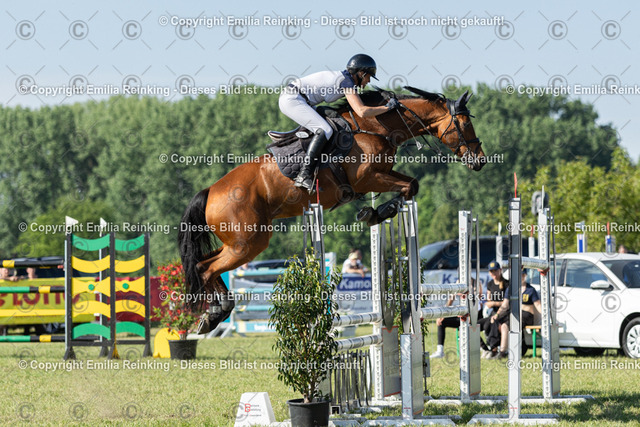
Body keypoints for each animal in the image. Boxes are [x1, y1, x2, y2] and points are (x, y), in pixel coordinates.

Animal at [178, 86, 486, 332]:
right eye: (464, 124)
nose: (480, 160)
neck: (375, 128)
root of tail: (211, 191)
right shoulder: (367, 178)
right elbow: (410, 186)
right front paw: (379, 211)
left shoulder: (381, 175)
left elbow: (410, 184)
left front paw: (377, 212)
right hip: (249, 243)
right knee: (205, 268)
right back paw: (214, 315)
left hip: (238, 241)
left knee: (204, 263)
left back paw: (216, 312)